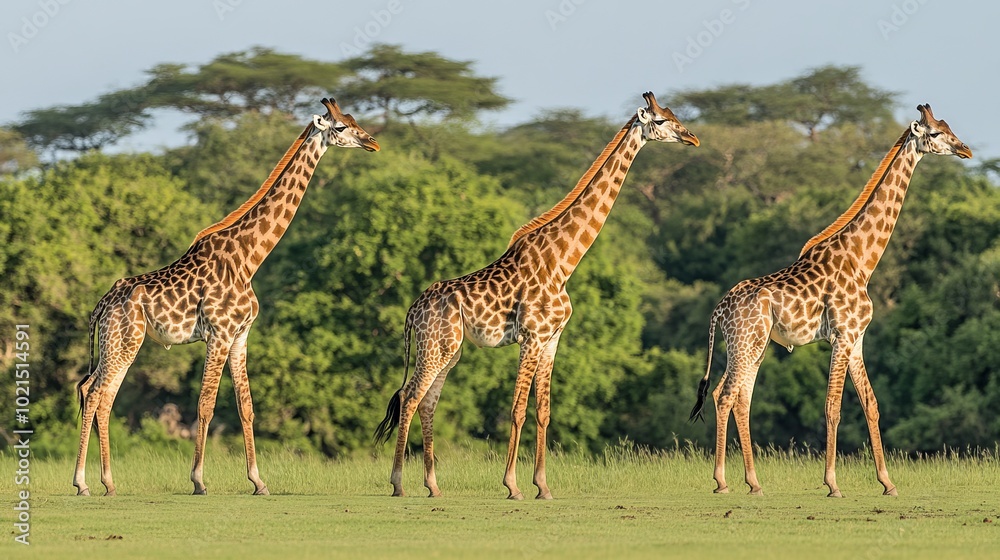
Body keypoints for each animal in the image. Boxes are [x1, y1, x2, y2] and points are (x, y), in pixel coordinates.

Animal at [73, 98, 379, 497]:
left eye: (354, 119)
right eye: (340, 127)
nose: (372, 142)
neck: (249, 257)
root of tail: (101, 307)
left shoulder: (239, 336)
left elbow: (245, 406)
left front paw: (259, 481)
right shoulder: (218, 334)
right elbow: (205, 404)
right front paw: (199, 480)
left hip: (119, 343)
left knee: (97, 393)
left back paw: (106, 482)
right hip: (124, 341)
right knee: (96, 393)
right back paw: (84, 482)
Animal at [373, 92, 699, 499]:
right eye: (660, 120)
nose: (692, 138)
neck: (562, 263)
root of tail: (411, 312)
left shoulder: (552, 339)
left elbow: (543, 411)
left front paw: (543, 486)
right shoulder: (530, 337)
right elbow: (518, 410)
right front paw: (512, 485)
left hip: (449, 349)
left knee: (428, 402)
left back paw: (433, 485)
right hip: (435, 346)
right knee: (410, 397)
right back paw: (398, 483)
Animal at [689, 104, 972, 497]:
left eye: (948, 127)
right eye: (934, 133)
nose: (965, 149)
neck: (862, 259)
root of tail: (719, 309)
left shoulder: (857, 339)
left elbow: (871, 404)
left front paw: (888, 482)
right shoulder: (841, 336)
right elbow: (833, 406)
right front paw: (833, 483)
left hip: (751, 346)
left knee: (739, 398)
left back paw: (754, 482)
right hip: (746, 343)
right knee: (725, 395)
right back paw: (721, 481)